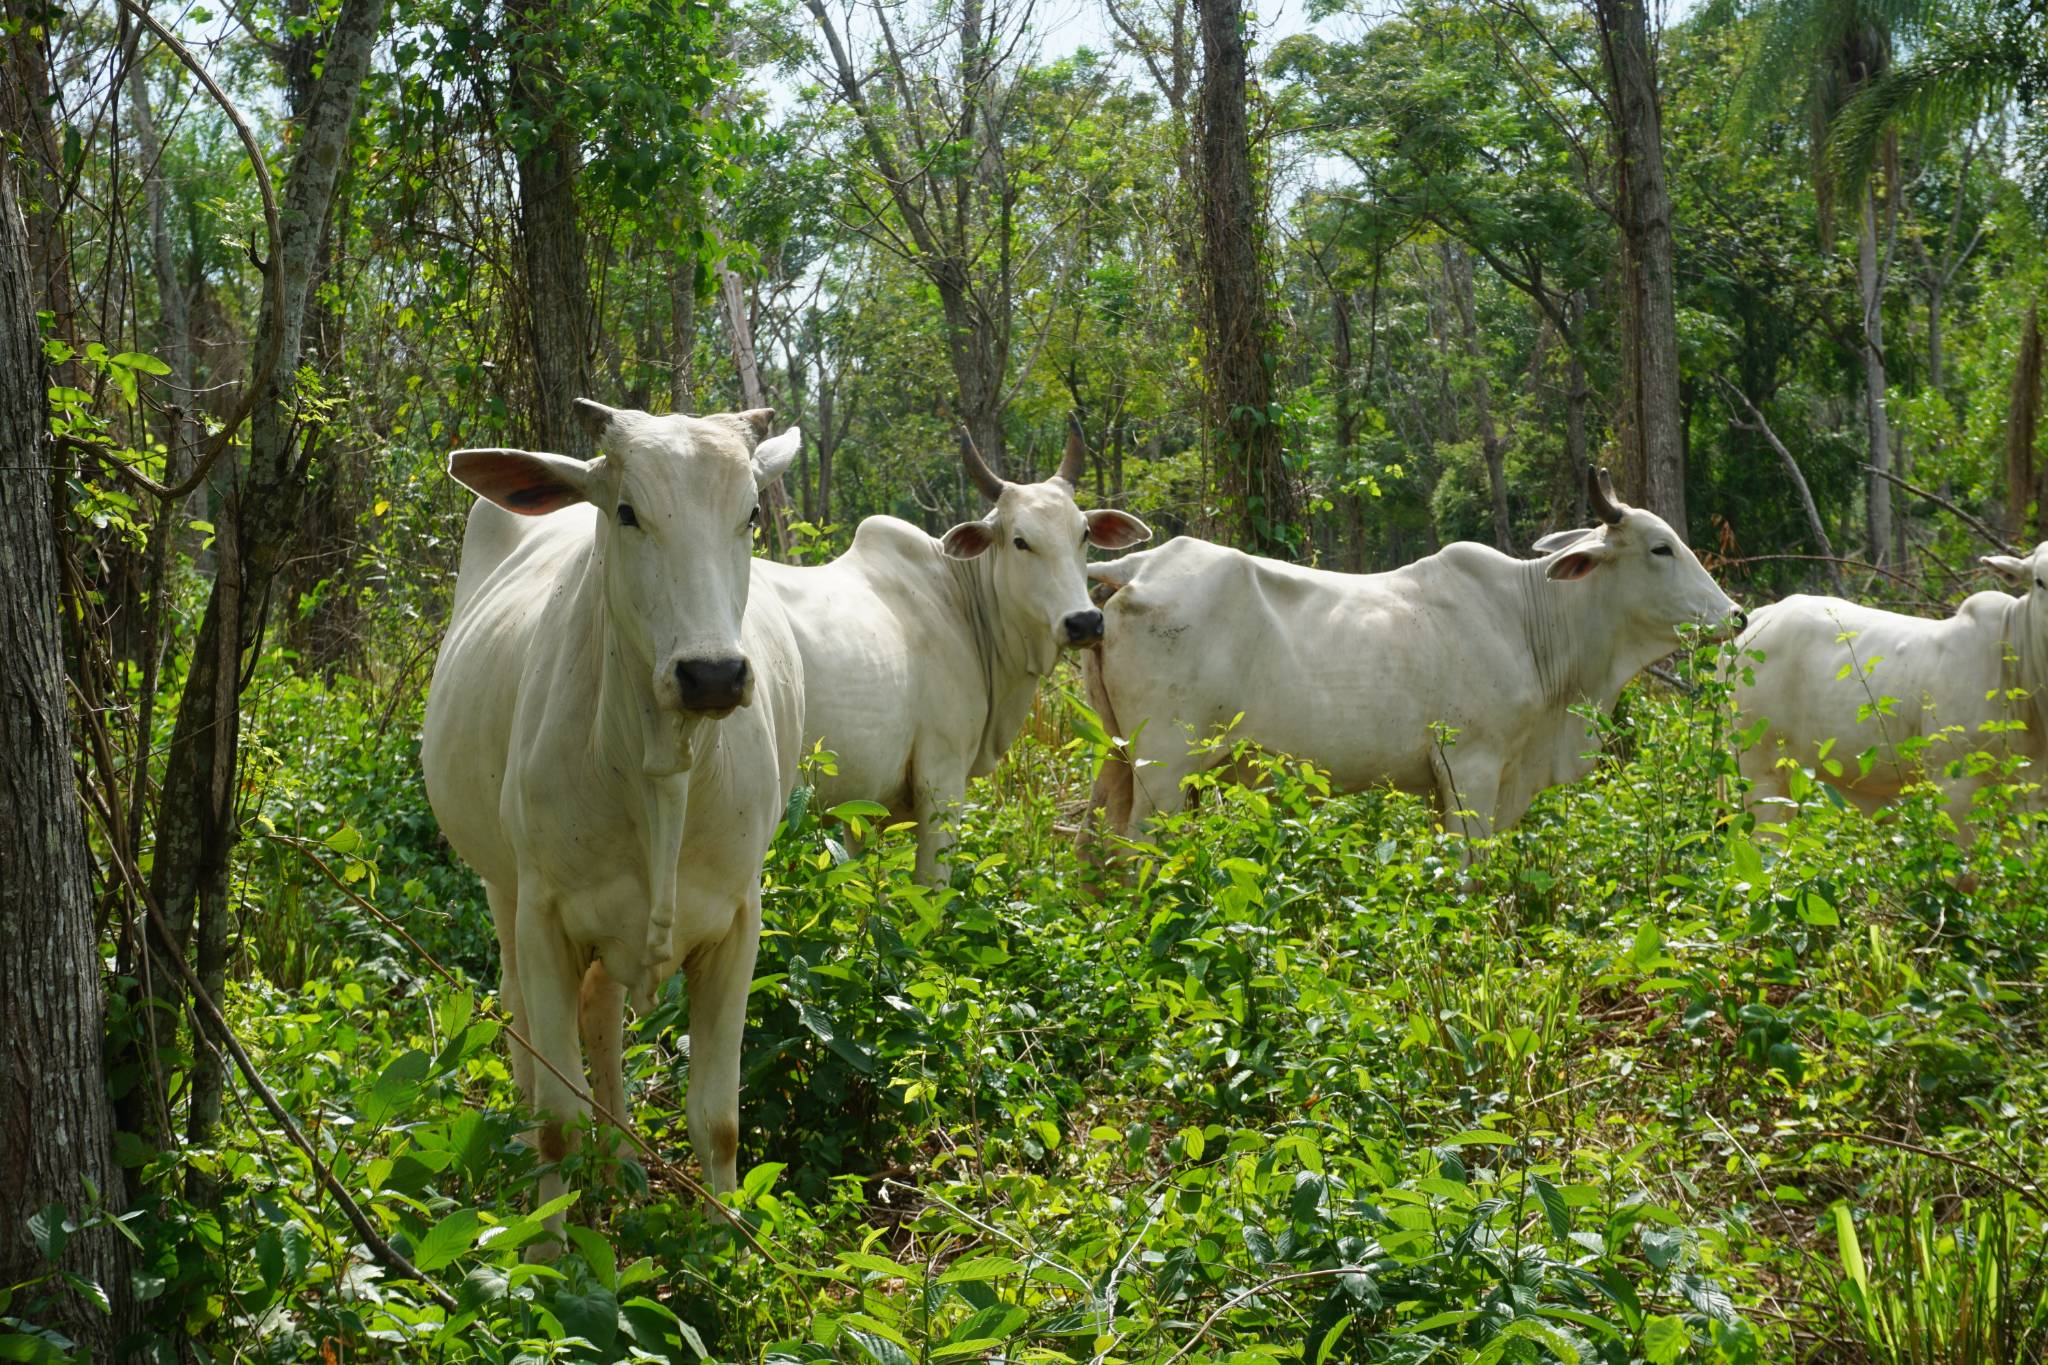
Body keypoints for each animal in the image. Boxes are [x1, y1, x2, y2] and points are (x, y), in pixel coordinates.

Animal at [420, 399, 803, 1243]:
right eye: (628, 512)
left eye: (751, 514)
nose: (712, 673)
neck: (663, 767)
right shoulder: (543, 913)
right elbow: (558, 1117)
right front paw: (550, 1247)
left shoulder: (738, 921)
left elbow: (719, 1118)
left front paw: (727, 1247)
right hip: (502, 887)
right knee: (522, 1015)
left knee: (600, 1019)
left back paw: (622, 1161)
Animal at [754, 419, 1151, 882]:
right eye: (1020, 541)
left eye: (1084, 534)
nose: (1084, 622)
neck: (962, 602)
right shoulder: (941, 777)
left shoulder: (859, 803)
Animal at [1082, 468, 1744, 844]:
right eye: (1660, 548)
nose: (1735, 616)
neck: (1530, 622)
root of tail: (1135, 568)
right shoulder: (1469, 766)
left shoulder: (1436, 785)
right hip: (1165, 767)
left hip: (1119, 759)